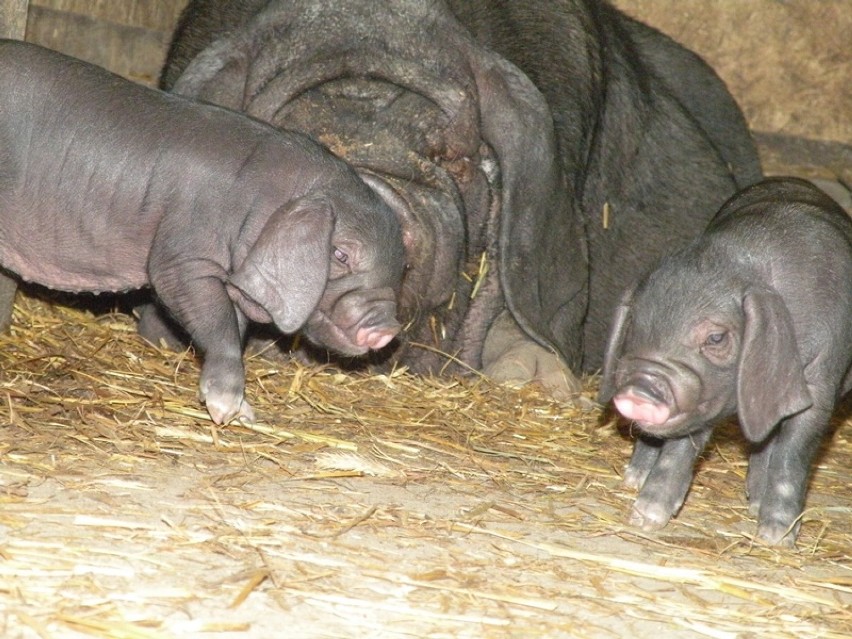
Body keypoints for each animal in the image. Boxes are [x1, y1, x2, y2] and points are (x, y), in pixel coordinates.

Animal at [0, 42, 402, 428]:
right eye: (341, 255)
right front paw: (225, 411)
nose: (389, 327)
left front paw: (245, 415)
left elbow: (234, 326)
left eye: (401, 268)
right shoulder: (184, 253)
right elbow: (215, 321)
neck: (263, 204)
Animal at [600, 179, 852, 544]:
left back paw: (756, 505)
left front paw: (776, 537)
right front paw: (644, 519)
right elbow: (682, 445)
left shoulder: (821, 378)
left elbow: (793, 451)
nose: (639, 388)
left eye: (716, 338)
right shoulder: (702, 395)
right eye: (635, 323)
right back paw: (633, 479)